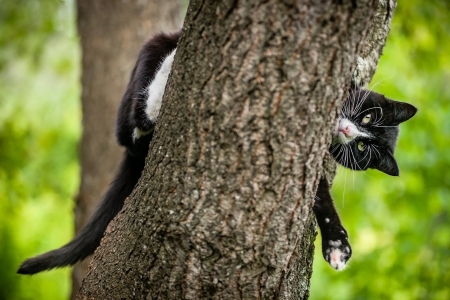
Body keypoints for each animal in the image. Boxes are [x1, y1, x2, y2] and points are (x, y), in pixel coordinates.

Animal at [17, 31, 418, 274]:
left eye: (363, 147)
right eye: (368, 116)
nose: (350, 131)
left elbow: (318, 194)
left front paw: (337, 245)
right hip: (149, 56)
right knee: (131, 125)